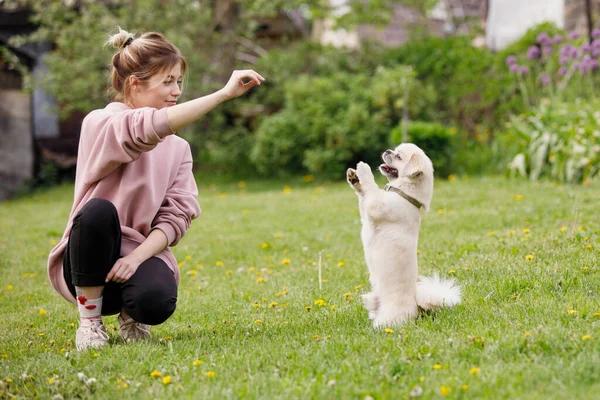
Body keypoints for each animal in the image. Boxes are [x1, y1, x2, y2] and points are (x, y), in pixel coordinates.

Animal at [344, 144, 462, 328]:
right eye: (393, 150)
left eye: (398, 156)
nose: (387, 151)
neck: (403, 193)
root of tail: (416, 308)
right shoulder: (367, 211)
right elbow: (363, 194)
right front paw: (354, 177)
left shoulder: (376, 206)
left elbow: (371, 187)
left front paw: (363, 169)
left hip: (389, 318)